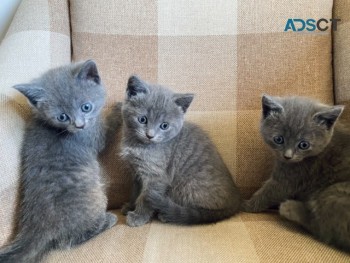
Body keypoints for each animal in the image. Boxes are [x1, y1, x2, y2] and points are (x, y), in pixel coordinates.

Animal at [0, 60, 117, 262]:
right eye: (62, 117)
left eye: (86, 107)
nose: (79, 124)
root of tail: (37, 227)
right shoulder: (91, 137)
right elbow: (105, 132)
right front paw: (120, 109)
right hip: (94, 200)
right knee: (67, 240)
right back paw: (107, 220)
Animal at [120, 76, 241, 227]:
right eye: (142, 119)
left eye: (164, 126)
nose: (150, 135)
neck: (139, 145)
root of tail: (236, 201)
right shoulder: (136, 173)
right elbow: (135, 192)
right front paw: (130, 206)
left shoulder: (156, 175)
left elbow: (145, 197)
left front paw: (138, 216)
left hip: (188, 186)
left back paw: (167, 214)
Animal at [243, 95, 350, 254]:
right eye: (278, 139)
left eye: (303, 145)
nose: (288, 156)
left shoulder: (292, 177)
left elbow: (269, 192)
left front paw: (245, 204)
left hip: (333, 193)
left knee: (325, 230)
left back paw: (290, 208)